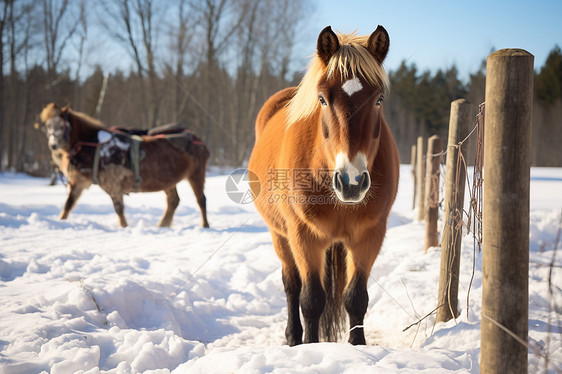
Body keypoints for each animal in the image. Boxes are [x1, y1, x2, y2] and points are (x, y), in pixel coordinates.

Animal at [37, 103, 209, 229]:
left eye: (62, 125)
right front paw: (60, 221)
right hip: (168, 180)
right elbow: (68, 205)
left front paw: (124, 227)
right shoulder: (79, 182)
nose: (53, 145)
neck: (94, 146)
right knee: (173, 201)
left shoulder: (113, 184)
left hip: (196, 174)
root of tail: (197, 139)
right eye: (47, 126)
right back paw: (162, 225)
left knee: (201, 200)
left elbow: (119, 209)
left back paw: (204, 225)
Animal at [246, 26, 398, 346]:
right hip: (280, 235)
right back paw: (293, 337)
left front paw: (358, 346)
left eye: (378, 99)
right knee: (291, 285)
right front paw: (310, 346)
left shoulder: (369, 236)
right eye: (322, 99)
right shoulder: (304, 236)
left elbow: (356, 298)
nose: (352, 182)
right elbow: (311, 300)